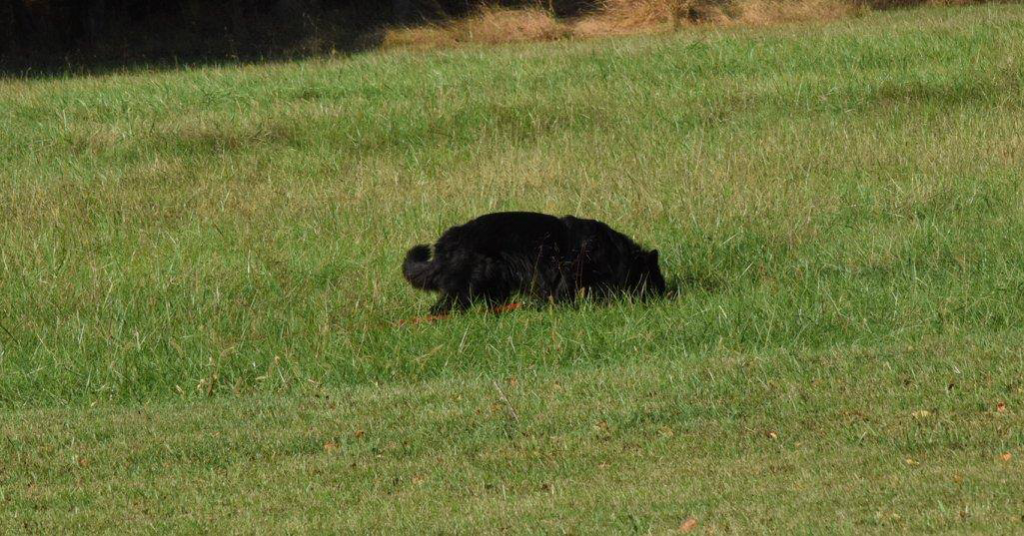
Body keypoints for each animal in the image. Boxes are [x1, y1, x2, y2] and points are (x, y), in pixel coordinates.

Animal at [399, 213, 663, 317]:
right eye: (656, 280)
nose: (666, 296)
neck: (613, 253)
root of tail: (444, 243)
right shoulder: (565, 277)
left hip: (495, 286)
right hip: (466, 288)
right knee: (440, 310)